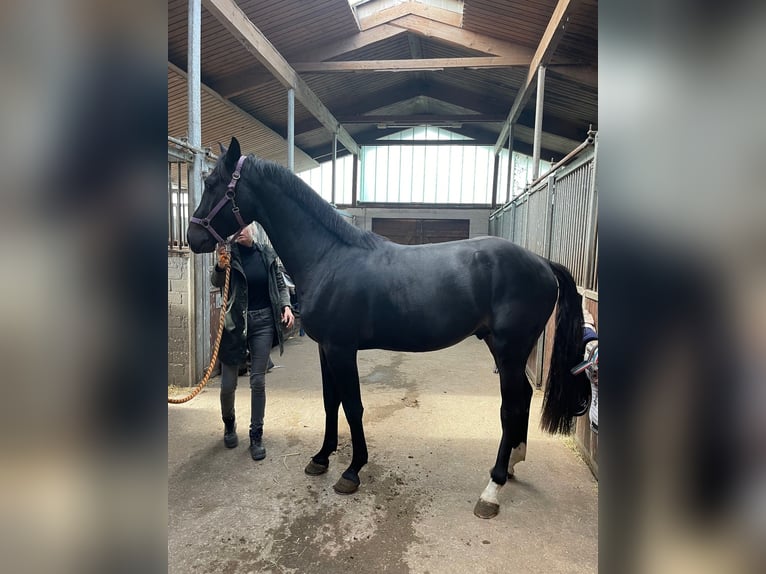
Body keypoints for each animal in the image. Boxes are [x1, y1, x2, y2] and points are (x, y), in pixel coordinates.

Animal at [189, 138, 592, 520]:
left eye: (212, 183)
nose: (193, 239)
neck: (329, 257)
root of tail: (542, 262)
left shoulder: (341, 349)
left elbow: (353, 406)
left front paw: (352, 471)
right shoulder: (325, 349)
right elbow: (331, 402)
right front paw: (321, 457)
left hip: (509, 350)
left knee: (510, 407)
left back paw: (491, 490)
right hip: (504, 348)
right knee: (522, 397)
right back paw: (513, 464)